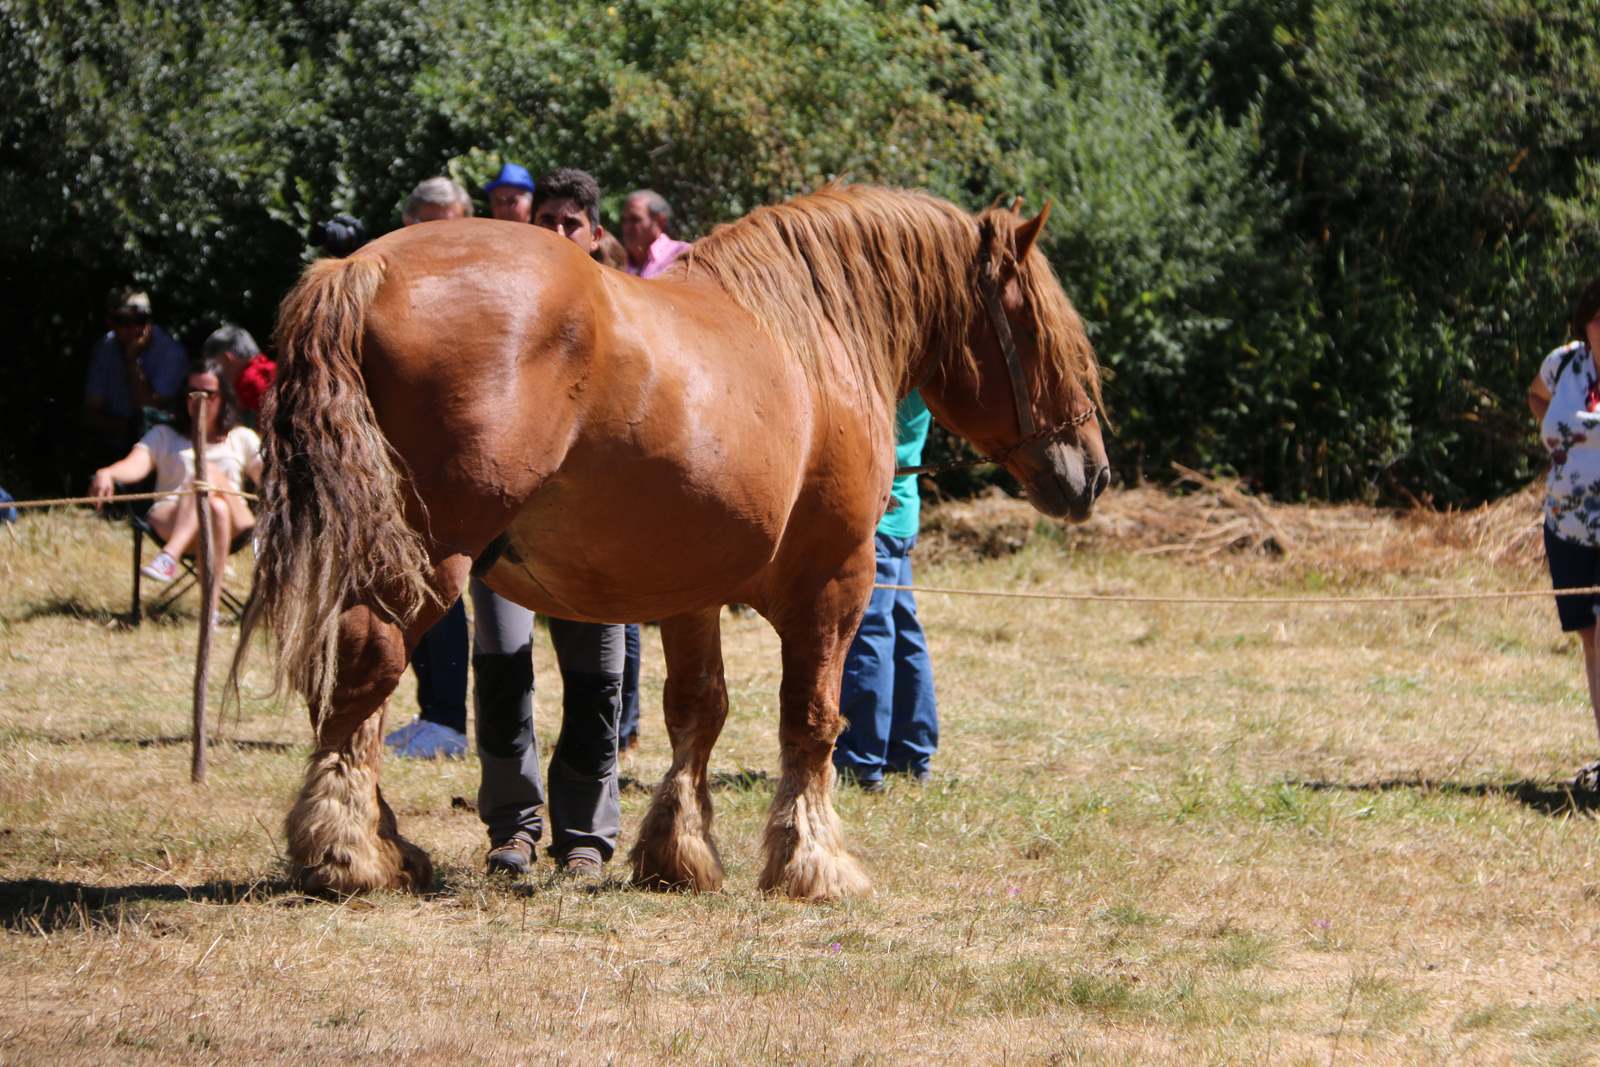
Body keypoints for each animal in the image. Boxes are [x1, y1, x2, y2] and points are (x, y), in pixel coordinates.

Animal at [240, 183, 1113, 902]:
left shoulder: (691, 592)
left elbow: (698, 708)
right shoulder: (835, 583)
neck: (812, 340)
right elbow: (813, 719)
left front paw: (678, 852)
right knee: (366, 665)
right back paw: (352, 852)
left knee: (349, 684)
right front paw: (812, 861)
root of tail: (365, 267)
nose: (1092, 472)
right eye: (1036, 325)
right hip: (427, 558)